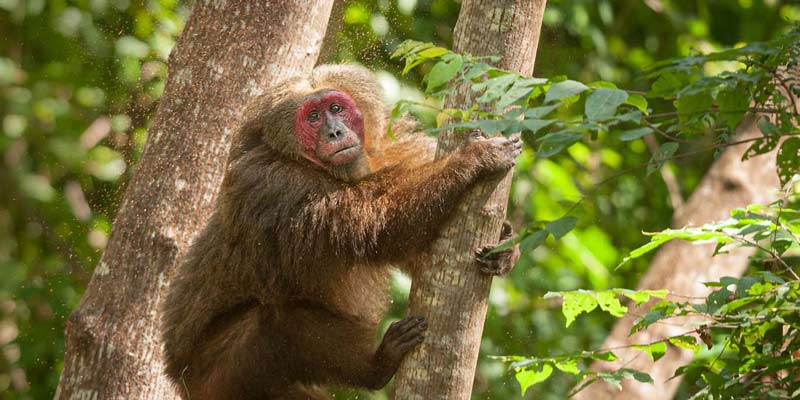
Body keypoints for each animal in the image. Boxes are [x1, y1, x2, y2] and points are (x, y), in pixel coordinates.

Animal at [161, 64, 524, 398]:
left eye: (336, 109)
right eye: (313, 117)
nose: (335, 132)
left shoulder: (388, 150)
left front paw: (506, 246)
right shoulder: (275, 186)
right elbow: (379, 230)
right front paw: (472, 161)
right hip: (217, 375)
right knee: (278, 320)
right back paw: (375, 368)